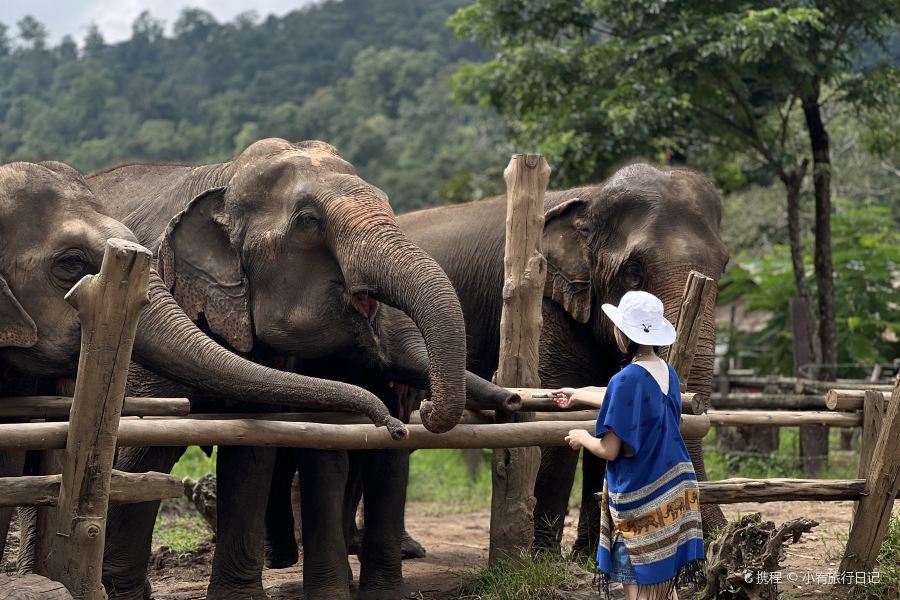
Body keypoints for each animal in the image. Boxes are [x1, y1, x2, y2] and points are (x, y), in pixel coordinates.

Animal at [390, 162, 730, 557]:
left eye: (724, 265)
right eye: (633, 271)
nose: (718, 539)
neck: (591, 195)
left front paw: (587, 556)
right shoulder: (545, 301)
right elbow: (552, 419)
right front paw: (544, 558)